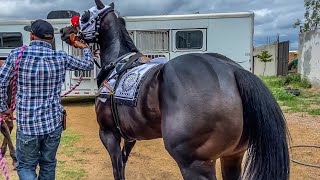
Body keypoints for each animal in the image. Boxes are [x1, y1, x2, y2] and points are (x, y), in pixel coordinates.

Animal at [60, 0, 290, 179]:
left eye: (84, 15)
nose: (64, 31)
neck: (118, 62)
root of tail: (232, 70)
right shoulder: (129, 136)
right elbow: (123, 165)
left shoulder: (108, 134)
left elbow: (117, 169)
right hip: (232, 157)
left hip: (194, 164)